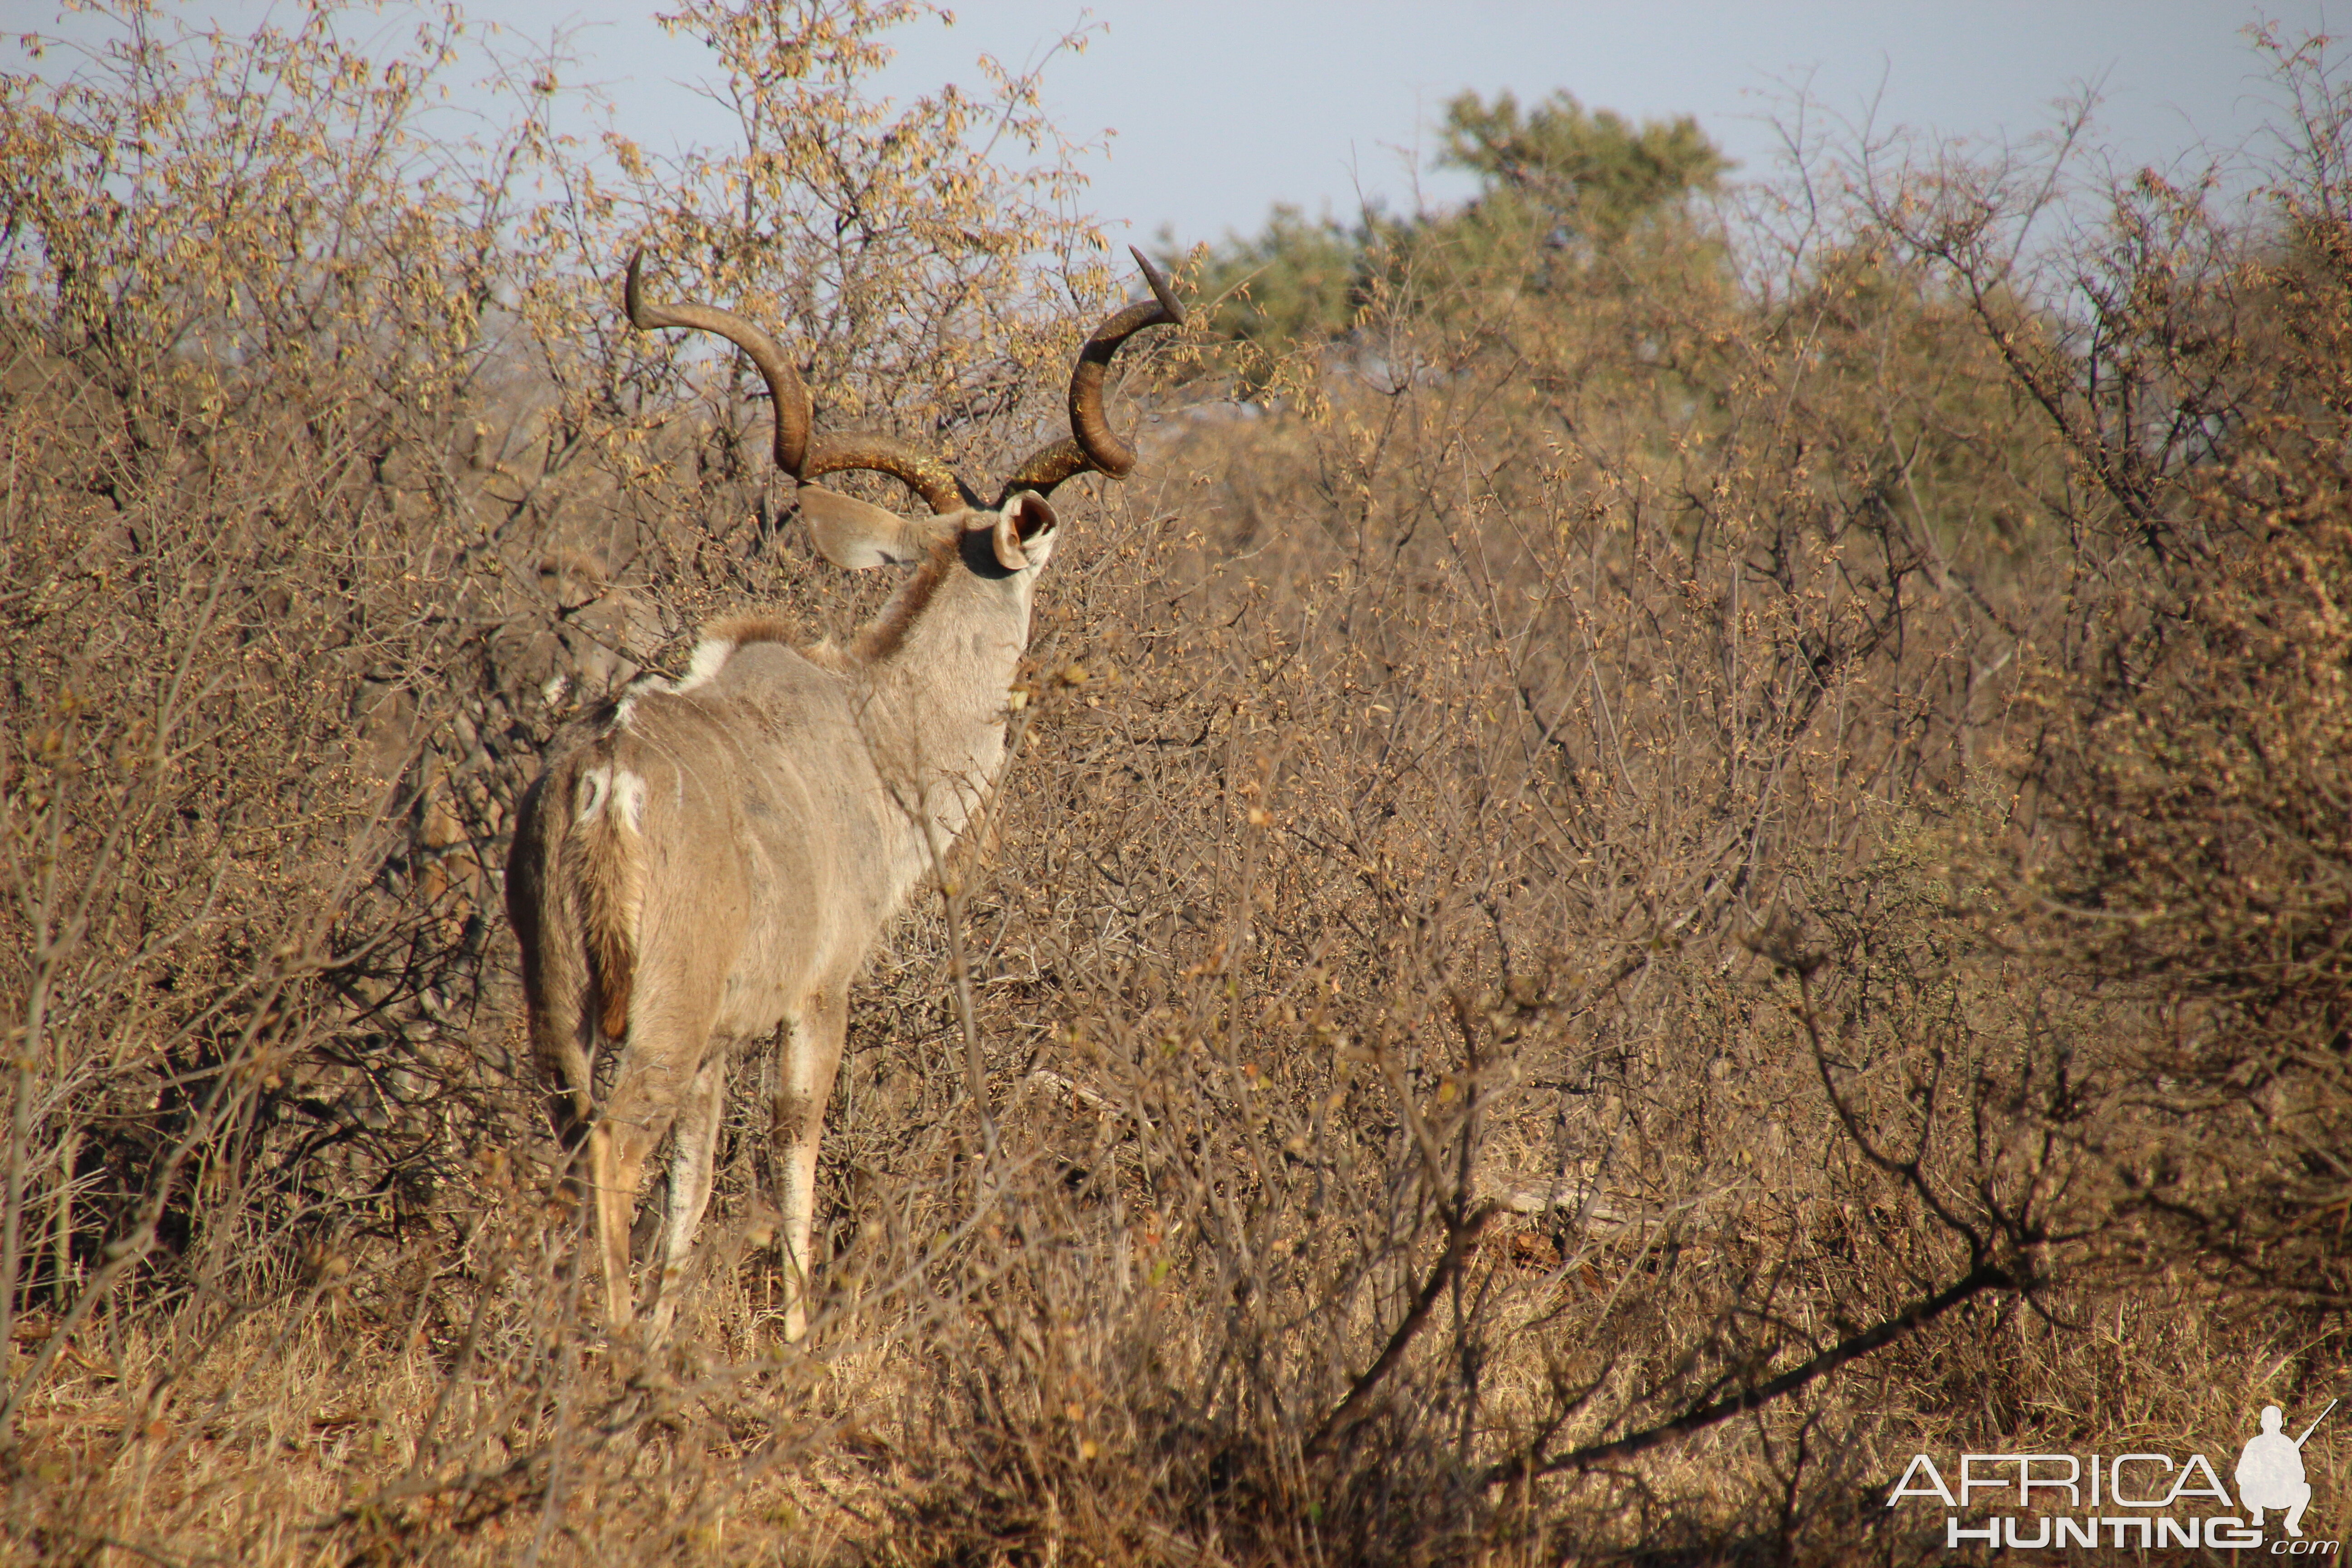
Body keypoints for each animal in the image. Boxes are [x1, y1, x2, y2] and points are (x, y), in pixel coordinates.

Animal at [508, 251, 1185, 1344]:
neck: (872, 735)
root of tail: (605, 781)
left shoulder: (722, 1038)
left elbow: (695, 1184)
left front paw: (670, 1329)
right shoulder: (817, 997)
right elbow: (793, 1143)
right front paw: (794, 1335)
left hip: (565, 1011)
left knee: (585, 1148)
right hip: (658, 1021)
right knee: (615, 1151)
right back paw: (609, 1347)